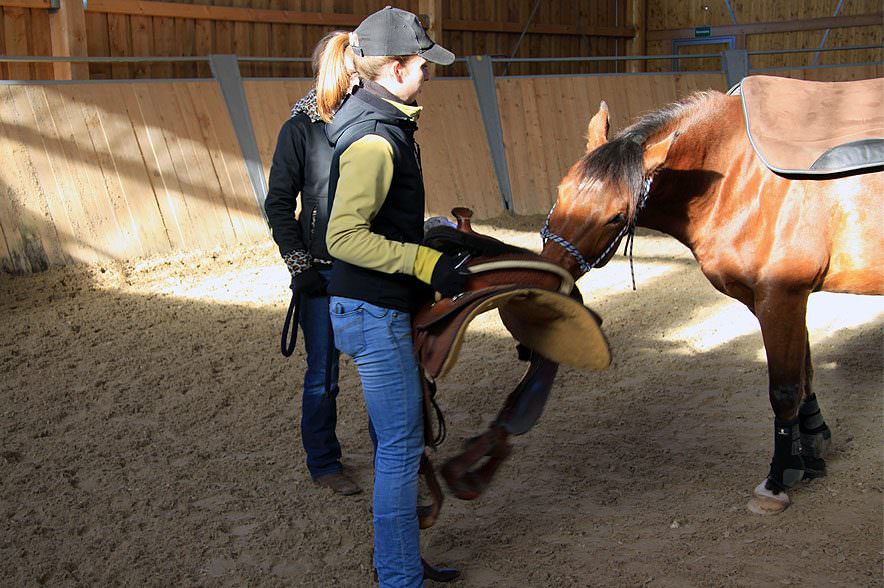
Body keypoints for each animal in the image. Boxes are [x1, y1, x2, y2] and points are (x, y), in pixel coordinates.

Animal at [544, 88, 880, 516]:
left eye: (616, 216)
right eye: (561, 191)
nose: (548, 275)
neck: (741, 178)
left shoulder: (779, 297)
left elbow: (784, 390)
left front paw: (779, 478)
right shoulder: (785, 298)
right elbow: (803, 374)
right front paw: (811, 452)